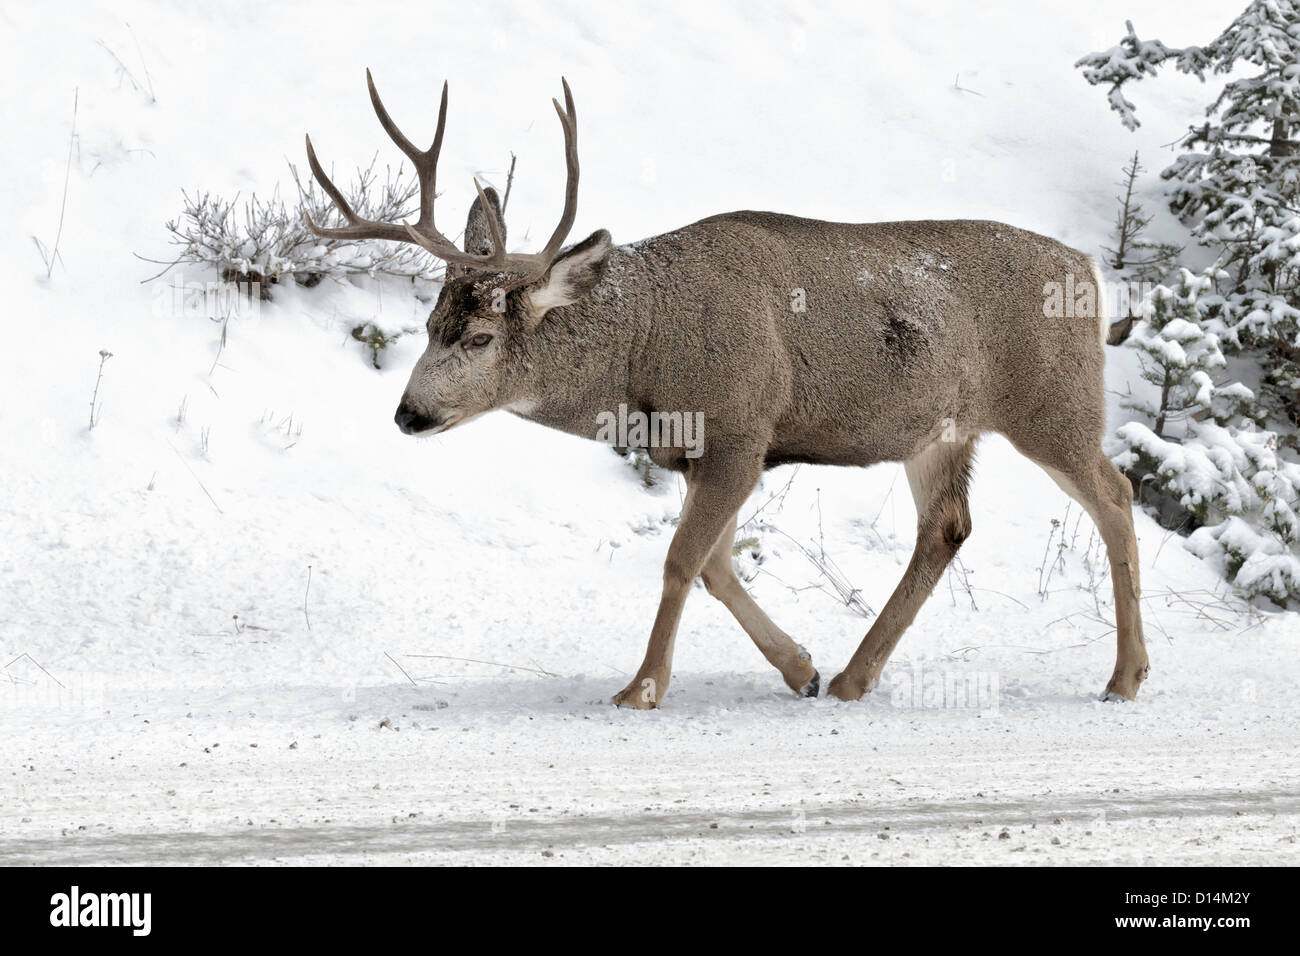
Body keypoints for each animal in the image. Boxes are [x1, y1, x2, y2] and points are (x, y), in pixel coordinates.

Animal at [304, 71, 1149, 709]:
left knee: (1115, 494)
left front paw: (641, 689)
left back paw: (1125, 677)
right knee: (946, 527)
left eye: (480, 338)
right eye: (429, 324)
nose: (409, 413)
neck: (645, 352)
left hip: (1054, 404)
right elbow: (716, 566)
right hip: (940, 429)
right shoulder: (712, 451)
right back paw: (852, 678)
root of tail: (1089, 270)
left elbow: (682, 561)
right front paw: (800, 667)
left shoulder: (740, 427)